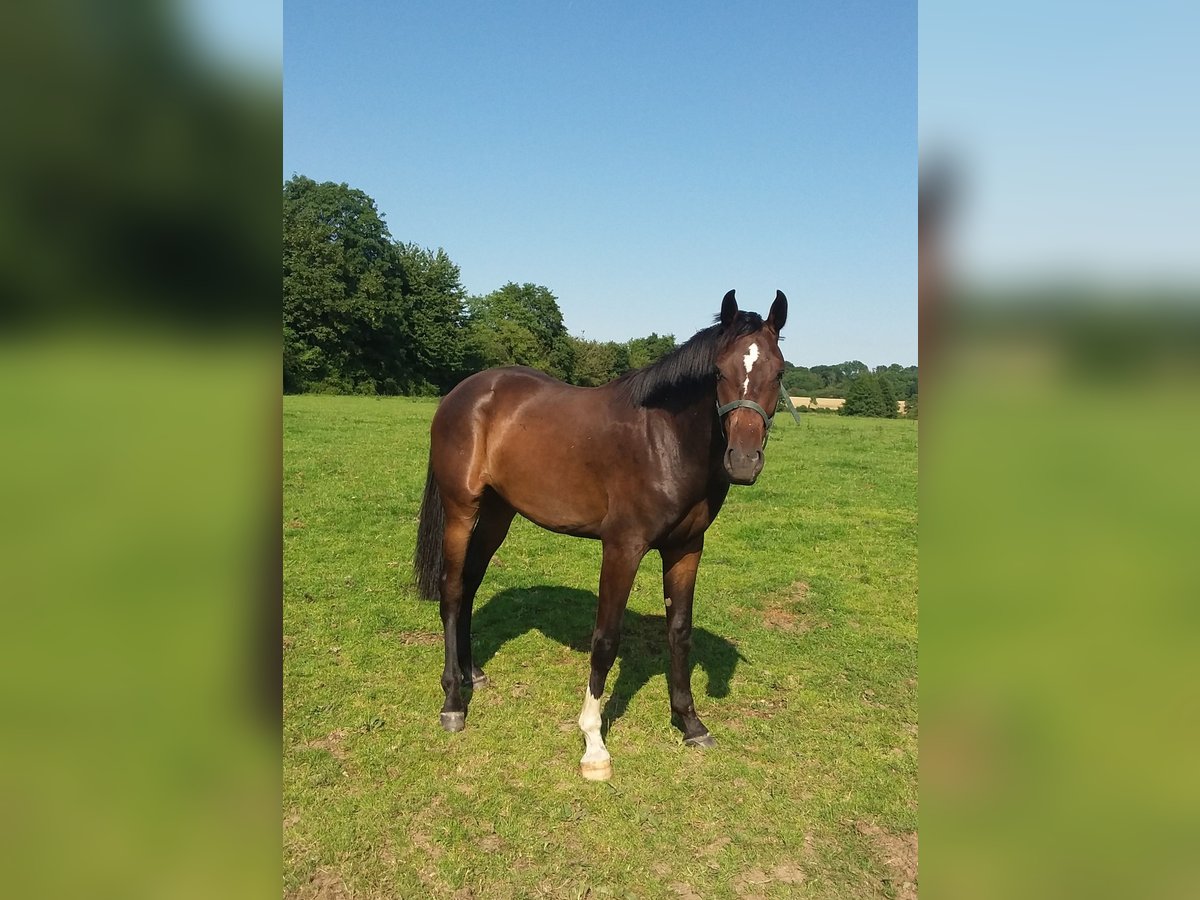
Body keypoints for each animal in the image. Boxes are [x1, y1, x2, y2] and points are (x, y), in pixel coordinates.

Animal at [412, 290, 787, 782]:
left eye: (778, 372)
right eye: (719, 372)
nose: (743, 461)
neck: (663, 440)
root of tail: (462, 393)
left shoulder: (686, 548)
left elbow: (680, 631)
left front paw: (690, 722)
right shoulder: (622, 548)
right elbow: (606, 638)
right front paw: (593, 743)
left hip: (497, 513)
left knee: (472, 583)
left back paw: (472, 671)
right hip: (461, 510)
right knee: (453, 590)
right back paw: (454, 701)